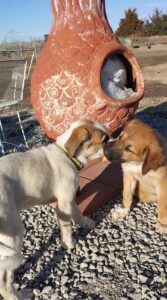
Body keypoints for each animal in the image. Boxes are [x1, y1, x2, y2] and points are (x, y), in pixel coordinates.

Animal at [0, 119, 108, 300]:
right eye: (105, 140)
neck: (67, 154)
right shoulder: (63, 204)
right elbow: (67, 227)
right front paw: (68, 244)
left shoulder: (69, 198)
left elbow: (78, 214)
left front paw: (86, 224)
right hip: (13, 233)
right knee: (5, 280)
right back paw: (20, 295)